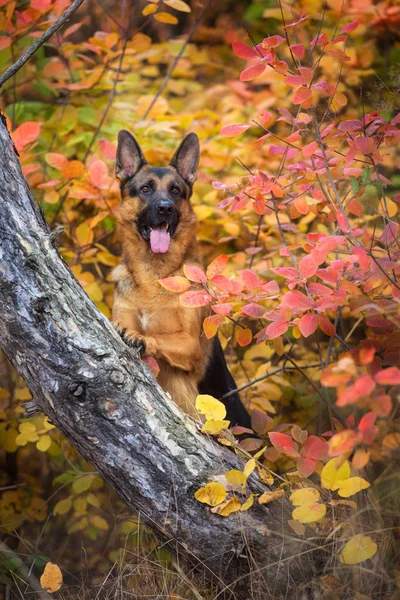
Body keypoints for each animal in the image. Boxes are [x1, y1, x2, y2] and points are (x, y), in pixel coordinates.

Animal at [111, 131, 250, 426]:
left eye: (176, 191)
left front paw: (138, 337)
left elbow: (158, 337)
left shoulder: (189, 345)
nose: (165, 208)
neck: (153, 277)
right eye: (145, 189)